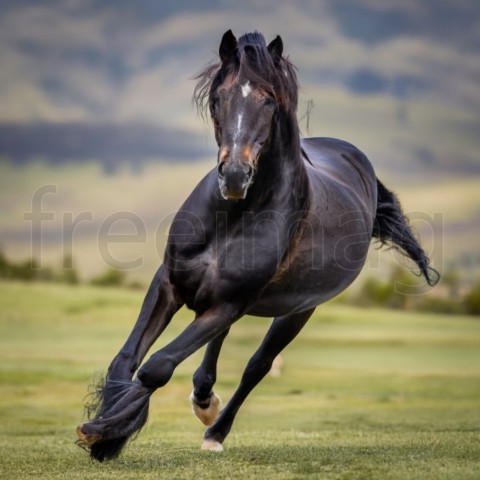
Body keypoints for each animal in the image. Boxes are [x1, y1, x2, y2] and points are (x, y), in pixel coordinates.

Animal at [76, 30, 438, 462]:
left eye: (268, 99)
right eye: (219, 97)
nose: (234, 175)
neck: (234, 215)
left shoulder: (232, 302)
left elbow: (157, 367)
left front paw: (104, 433)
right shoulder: (169, 284)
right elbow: (126, 359)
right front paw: (105, 425)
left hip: (297, 310)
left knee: (256, 366)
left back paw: (214, 429)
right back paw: (203, 399)